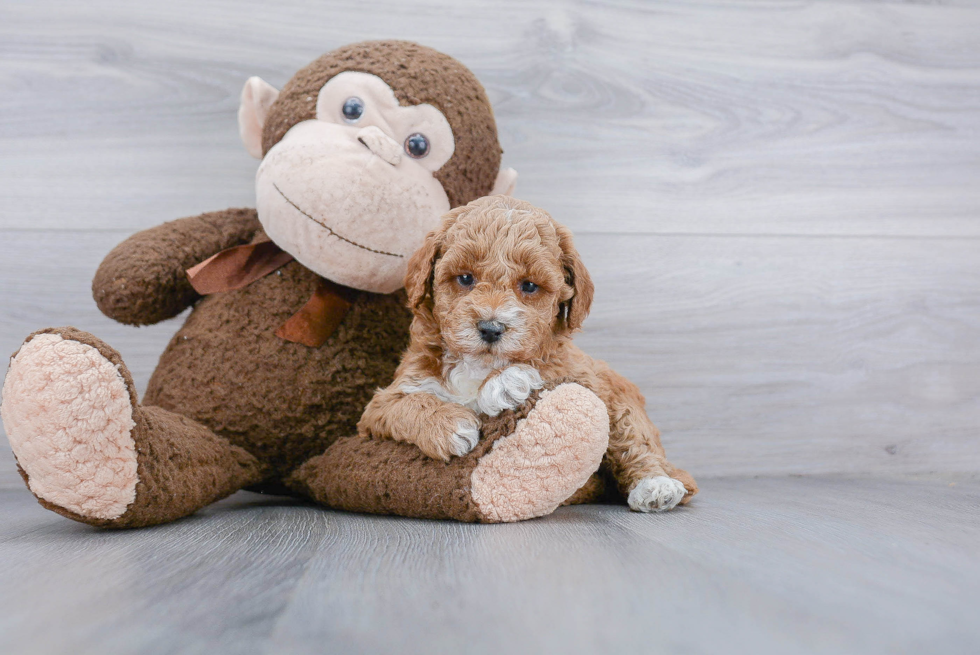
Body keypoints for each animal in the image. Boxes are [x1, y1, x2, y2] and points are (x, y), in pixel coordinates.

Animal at [356, 195, 692, 512]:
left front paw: (505, 382)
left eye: (529, 286)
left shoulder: (582, 373)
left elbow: (545, 366)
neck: (478, 365)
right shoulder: (380, 408)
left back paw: (656, 486)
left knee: (636, 443)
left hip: (620, 403)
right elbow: (408, 404)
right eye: (465, 278)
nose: (490, 328)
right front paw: (452, 426)